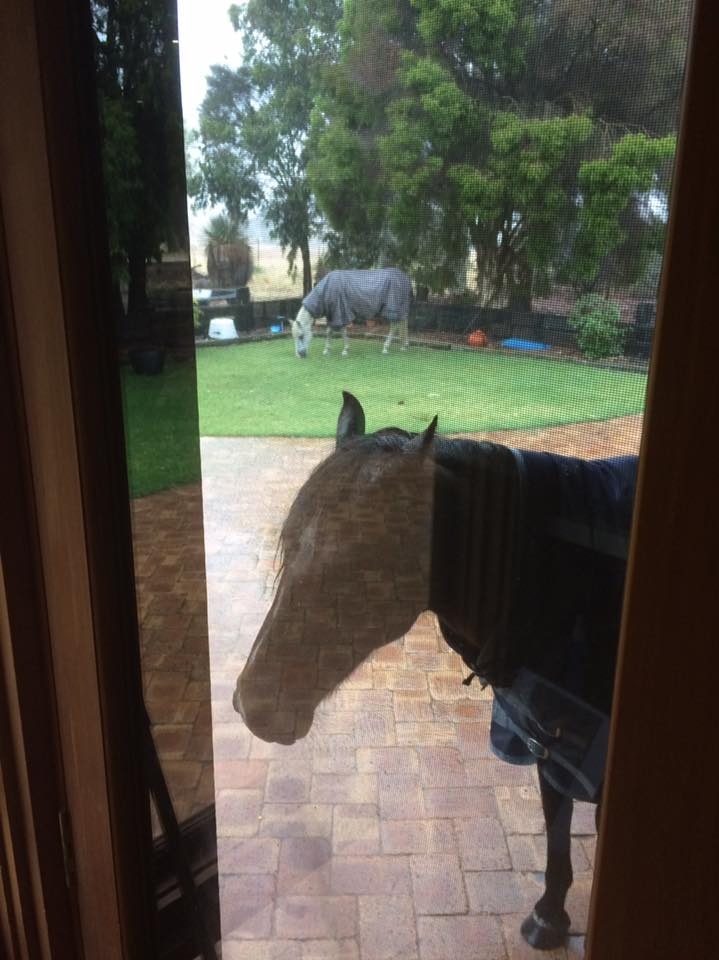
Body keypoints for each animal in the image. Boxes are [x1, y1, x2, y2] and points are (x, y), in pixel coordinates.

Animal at [235, 392, 636, 952]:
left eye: (361, 560)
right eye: (289, 543)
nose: (253, 704)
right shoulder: (550, 740)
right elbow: (556, 825)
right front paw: (549, 917)